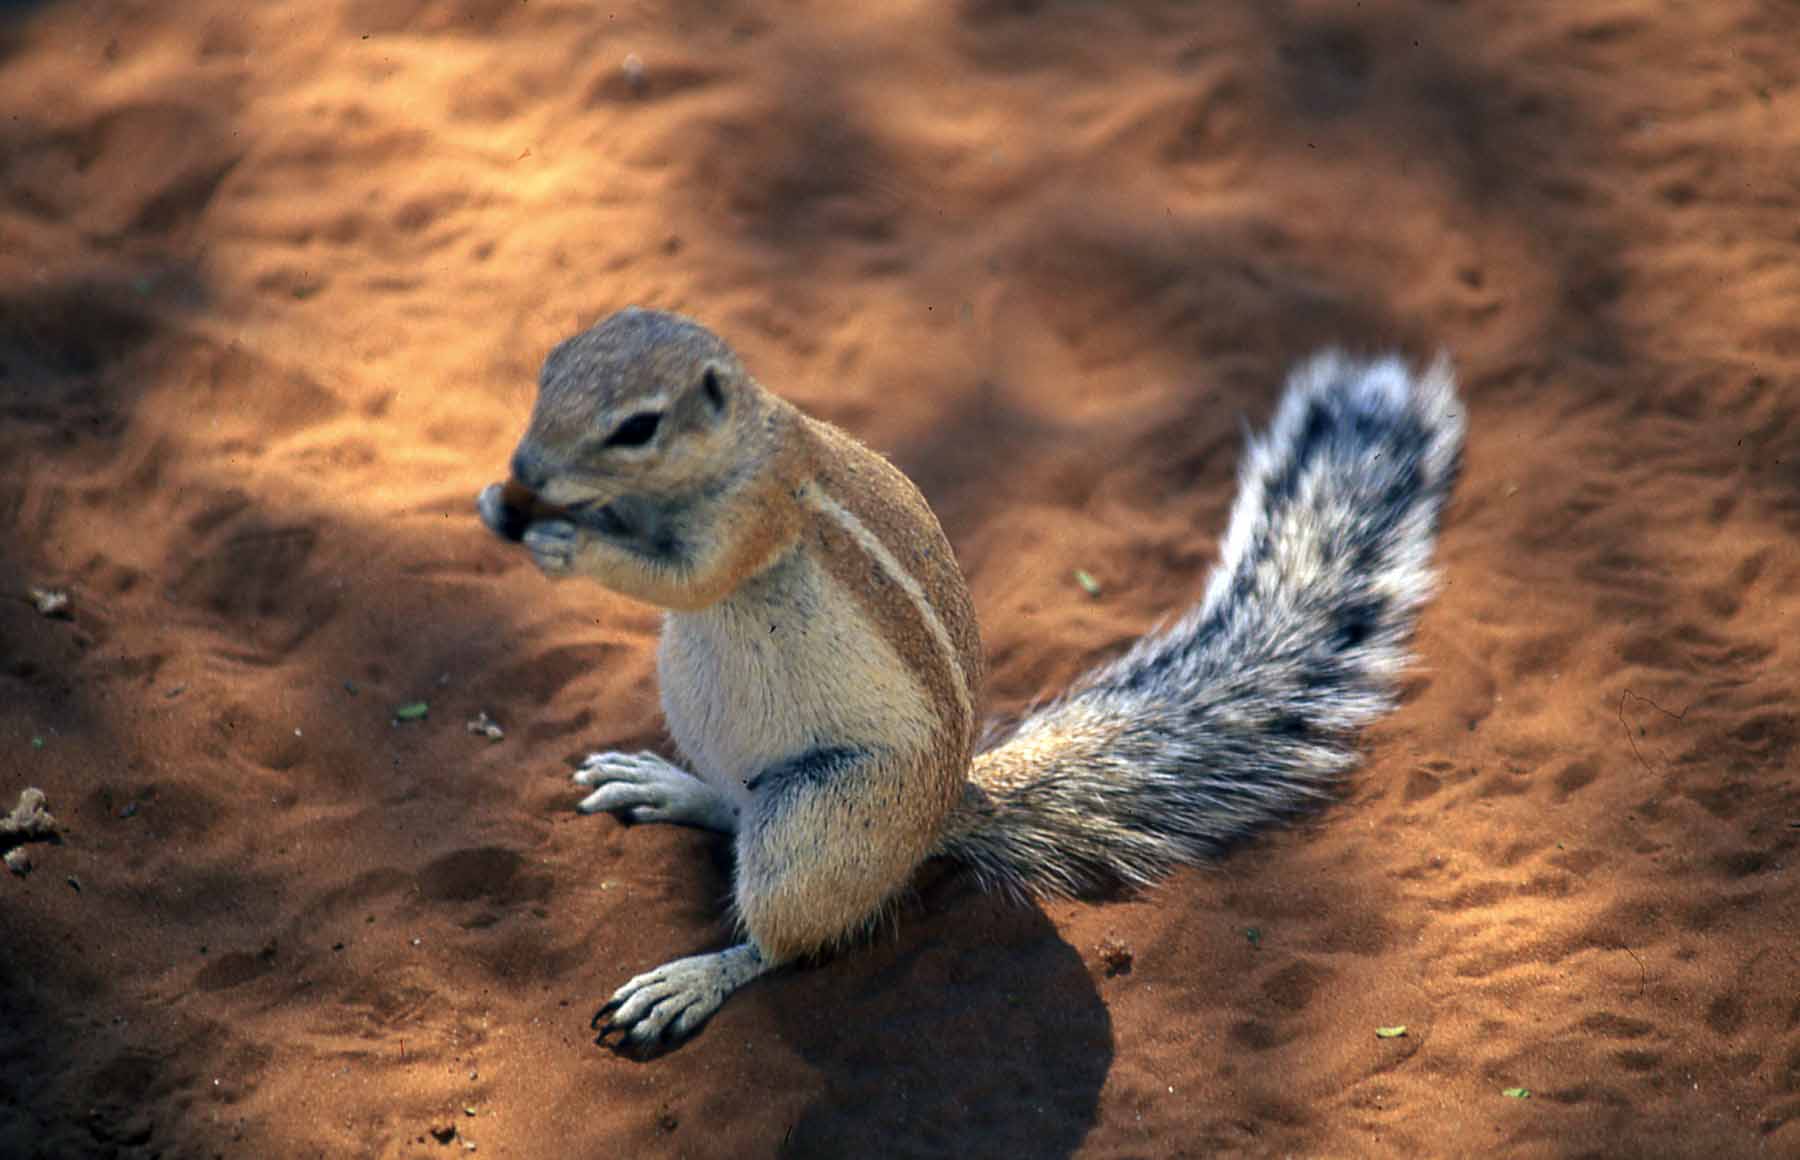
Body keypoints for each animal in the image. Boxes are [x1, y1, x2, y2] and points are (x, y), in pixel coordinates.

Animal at [477, 306, 1464, 1052]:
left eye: (636, 427)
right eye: (548, 371)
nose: (523, 471)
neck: (736, 445)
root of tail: (949, 809)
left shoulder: (750, 520)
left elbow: (682, 578)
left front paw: (562, 542)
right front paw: (503, 506)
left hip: (824, 818)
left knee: (784, 935)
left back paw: (691, 979)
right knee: (730, 804)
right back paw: (666, 786)